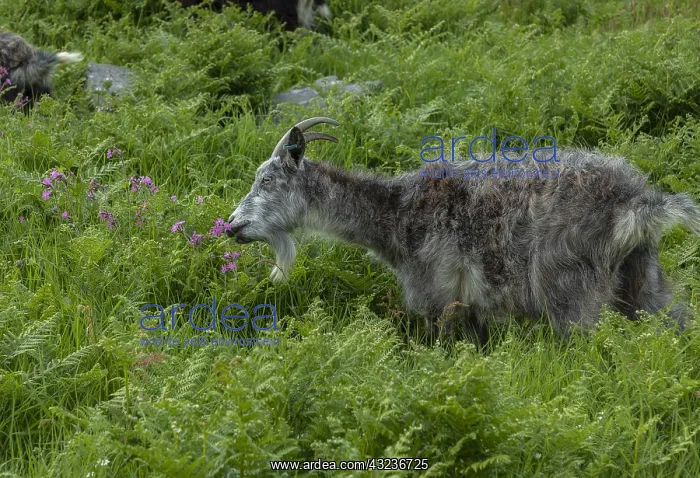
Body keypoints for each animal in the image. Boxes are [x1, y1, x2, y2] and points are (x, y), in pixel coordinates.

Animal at [225, 117, 700, 343]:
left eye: (266, 180)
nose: (231, 225)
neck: (397, 213)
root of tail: (634, 200)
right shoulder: (473, 309)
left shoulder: (436, 297)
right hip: (642, 276)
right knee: (673, 317)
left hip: (571, 288)